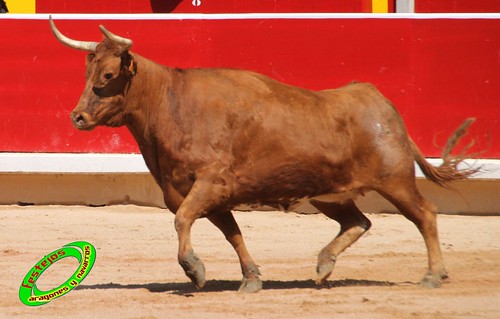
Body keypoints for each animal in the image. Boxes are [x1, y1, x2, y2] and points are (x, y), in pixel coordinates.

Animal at [49, 16, 476, 292]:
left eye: (107, 76)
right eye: (87, 74)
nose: (78, 117)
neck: (171, 104)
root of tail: (378, 100)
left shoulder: (210, 184)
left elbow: (184, 220)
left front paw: (195, 270)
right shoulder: (206, 195)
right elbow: (232, 233)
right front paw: (251, 278)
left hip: (396, 180)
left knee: (425, 215)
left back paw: (433, 275)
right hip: (329, 194)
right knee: (358, 222)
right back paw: (324, 265)